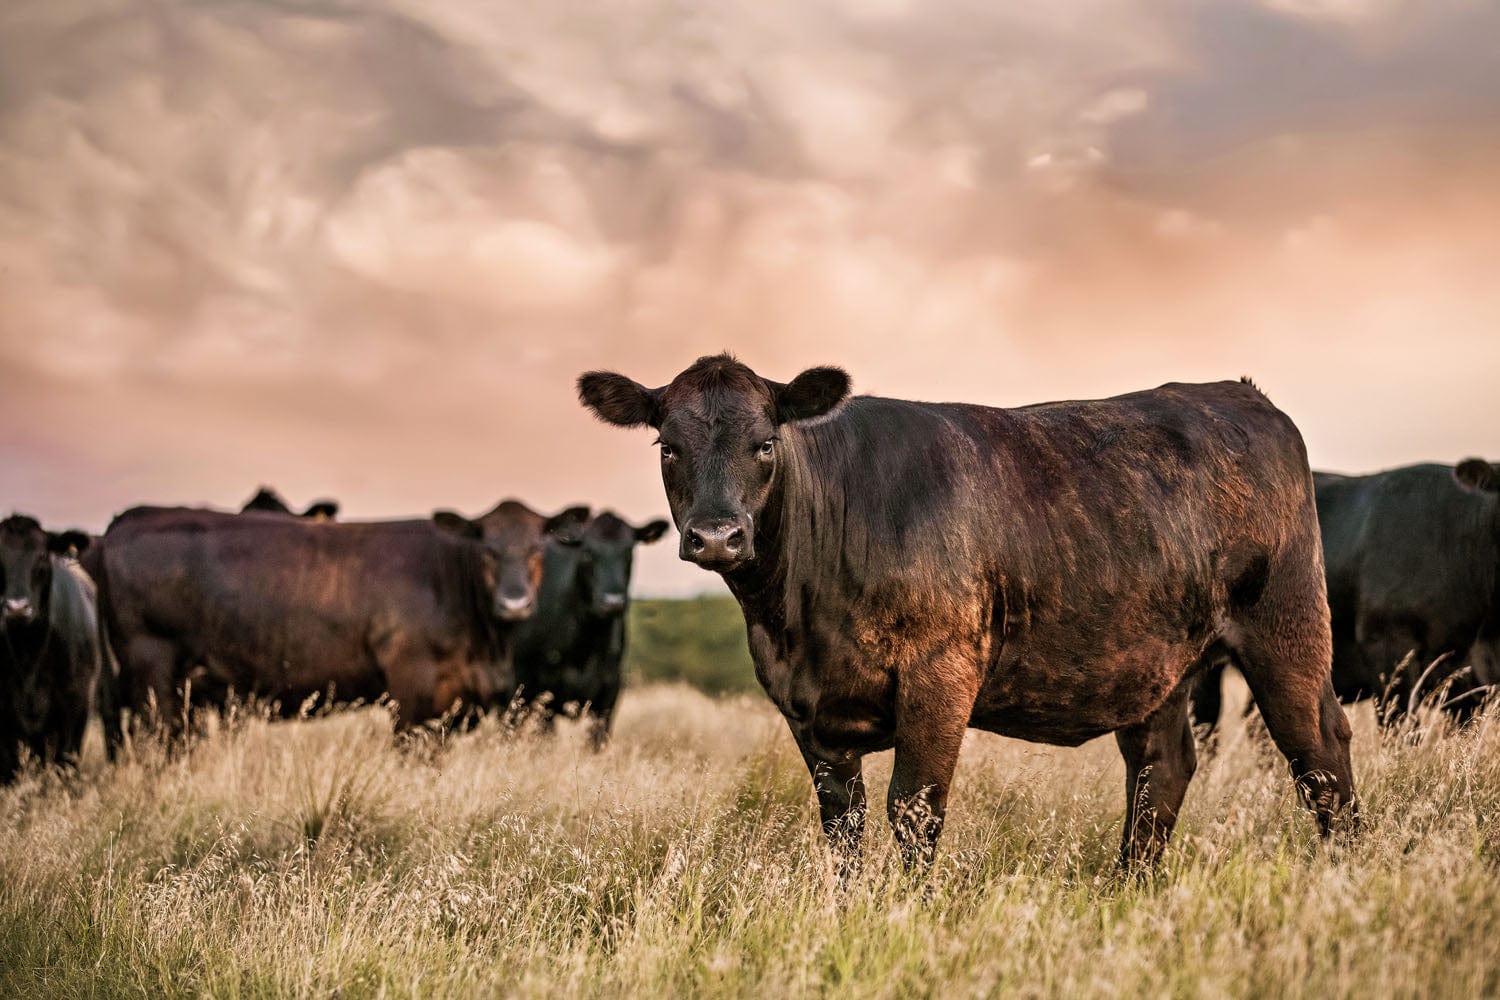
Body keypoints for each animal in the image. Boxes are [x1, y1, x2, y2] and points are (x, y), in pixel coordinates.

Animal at [92, 500, 588, 738]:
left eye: (538, 549)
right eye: (487, 549)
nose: (514, 603)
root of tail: (130, 519)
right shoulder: (413, 688)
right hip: (152, 669)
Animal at [511, 511, 670, 750]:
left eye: (629, 552)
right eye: (587, 553)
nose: (612, 602)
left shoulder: (609, 691)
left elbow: (596, 741)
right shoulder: (546, 692)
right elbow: (545, 739)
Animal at [578, 353, 1357, 875]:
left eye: (764, 443)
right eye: (668, 447)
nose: (717, 535)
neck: (798, 620)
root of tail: (1238, 393)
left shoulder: (940, 674)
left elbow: (914, 808)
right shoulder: (808, 709)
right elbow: (843, 824)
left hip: (1286, 631)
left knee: (1319, 754)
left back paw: (1342, 878)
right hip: (1155, 663)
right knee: (1159, 770)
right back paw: (1127, 889)